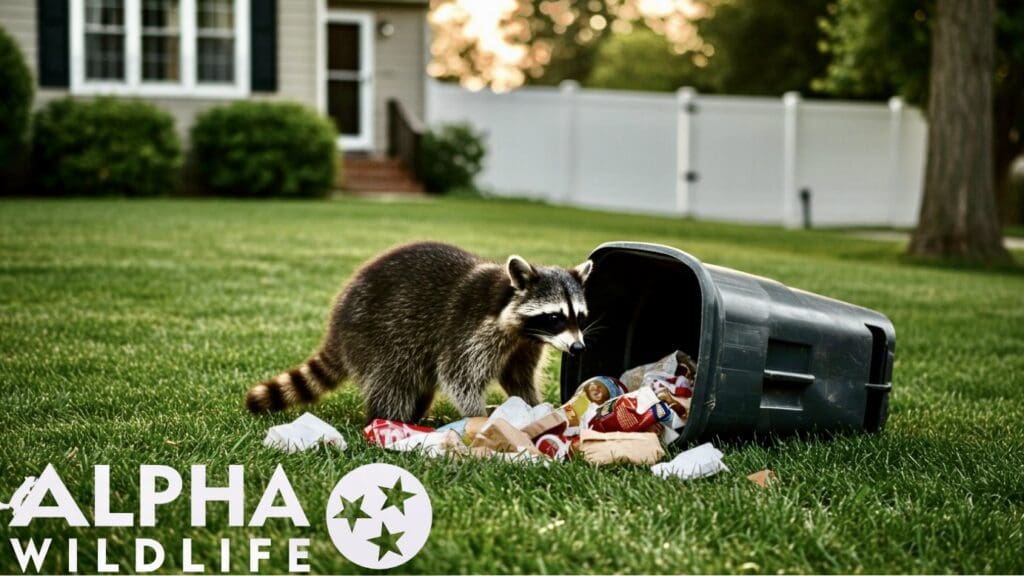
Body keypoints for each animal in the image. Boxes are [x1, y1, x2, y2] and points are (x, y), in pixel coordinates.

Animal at [245, 241, 592, 422]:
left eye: (579, 317)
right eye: (555, 317)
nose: (578, 348)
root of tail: (336, 330)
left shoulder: (524, 343)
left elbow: (518, 378)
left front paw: (534, 407)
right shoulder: (470, 331)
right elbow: (459, 376)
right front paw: (478, 417)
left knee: (418, 382)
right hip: (377, 336)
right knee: (393, 380)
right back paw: (390, 419)